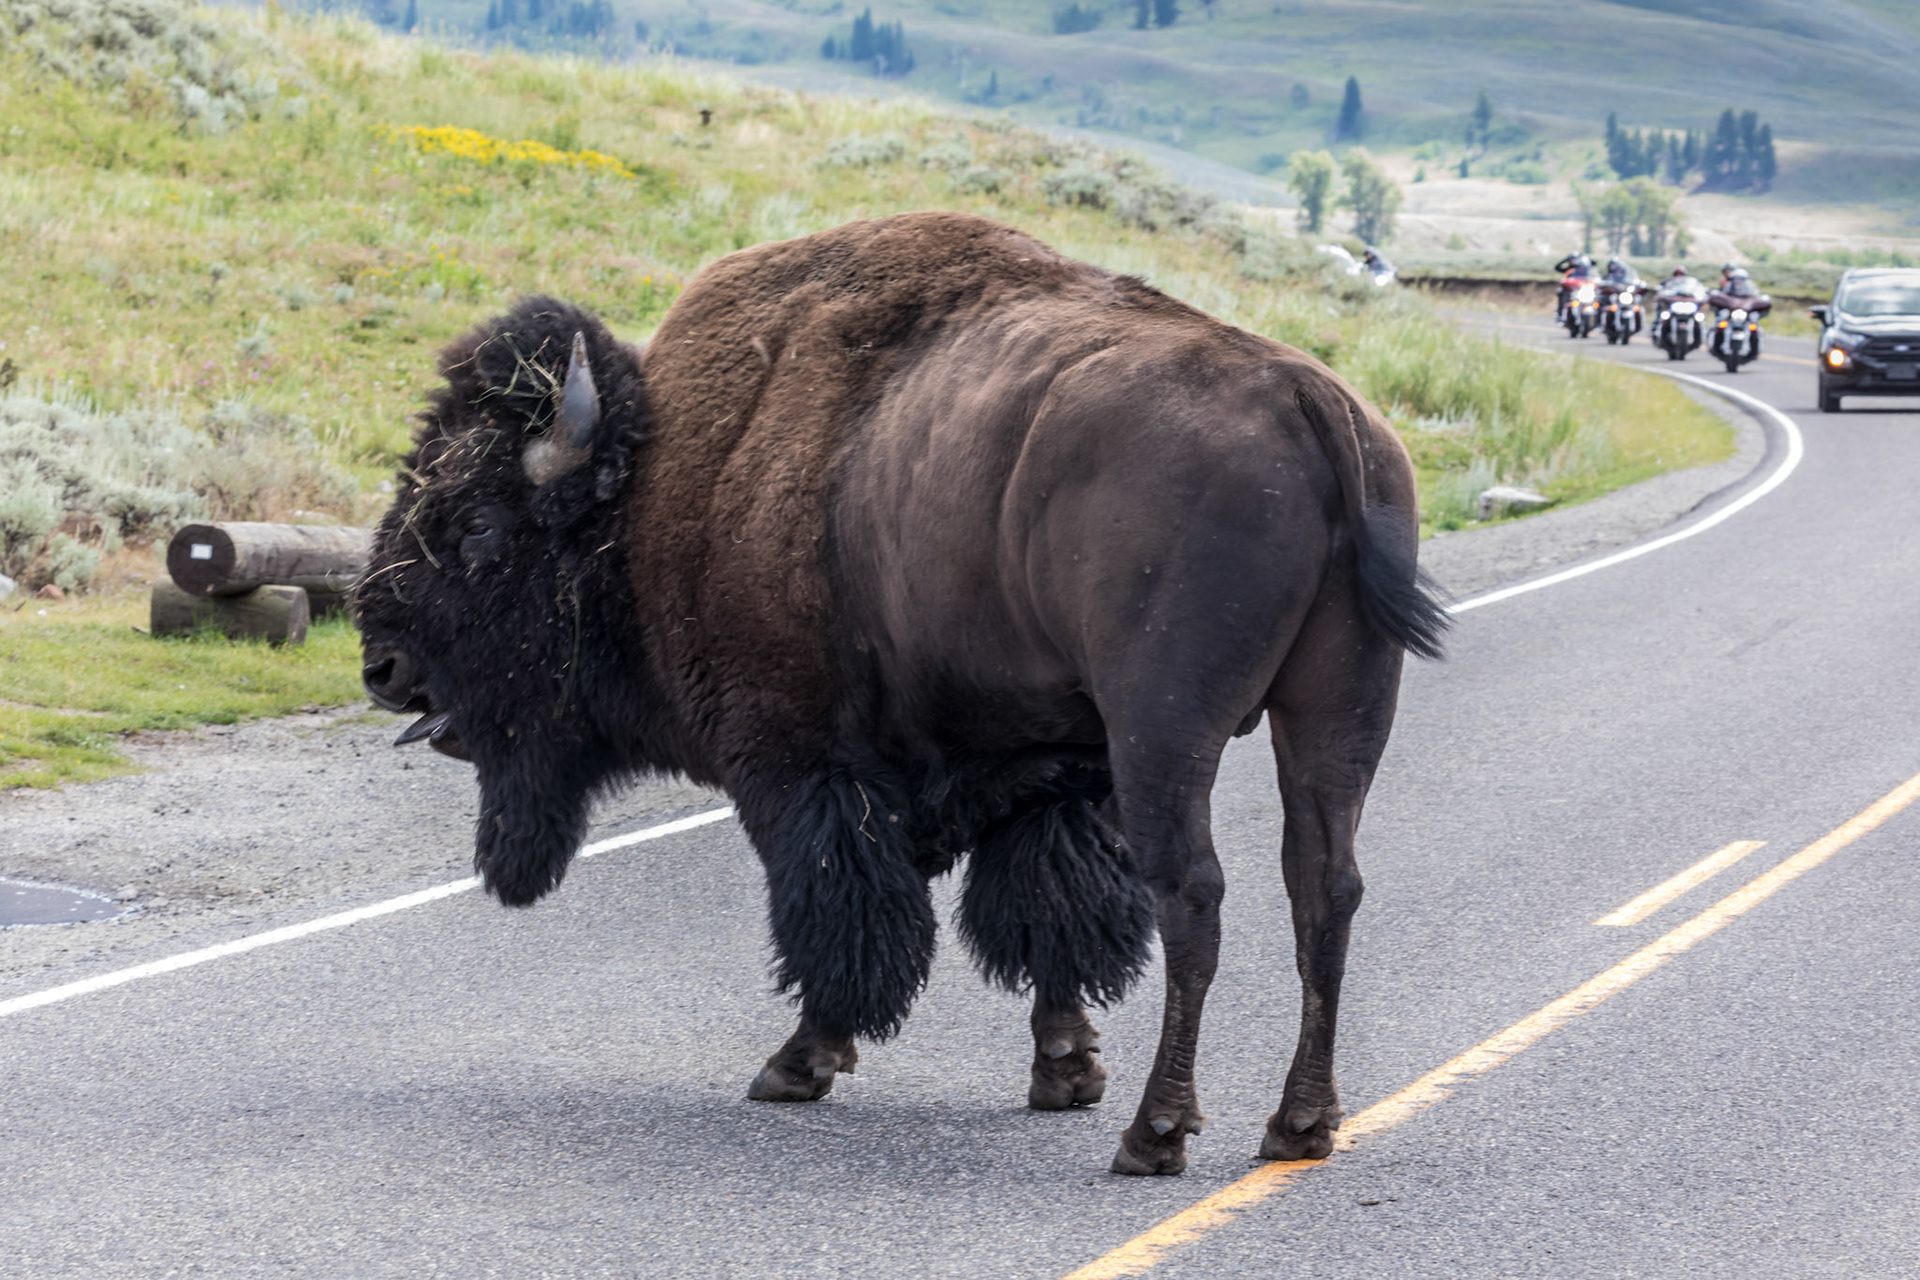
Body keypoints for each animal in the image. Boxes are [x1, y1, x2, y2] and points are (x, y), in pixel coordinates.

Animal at [356, 211, 1445, 1176]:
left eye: (478, 525)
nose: (382, 664)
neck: (658, 484)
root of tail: (1309, 400)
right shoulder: (1049, 770)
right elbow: (1048, 912)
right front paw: (1066, 1069)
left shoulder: (794, 764)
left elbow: (841, 913)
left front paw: (796, 1064)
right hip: (1337, 712)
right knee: (1324, 885)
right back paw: (1298, 1124)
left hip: (1167, 731)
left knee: (1194, 893)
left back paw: (1157, 1134)